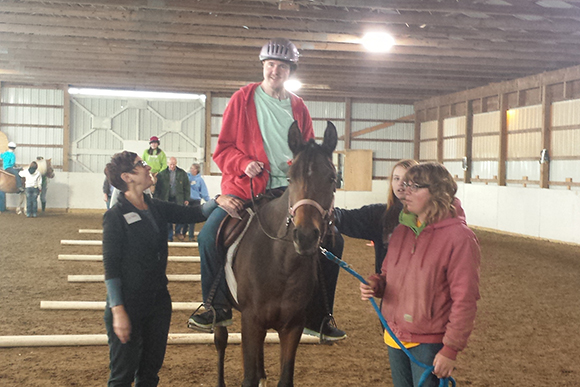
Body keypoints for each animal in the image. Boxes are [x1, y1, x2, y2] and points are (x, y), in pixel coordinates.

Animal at [215, 121, 338, 387]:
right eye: (290, 178)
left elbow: (284, 378)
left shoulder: (292, 326)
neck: (282, 264)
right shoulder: (250, 321)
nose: (305, 236)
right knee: (220, 339)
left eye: (332, 178)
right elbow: (248, 377)